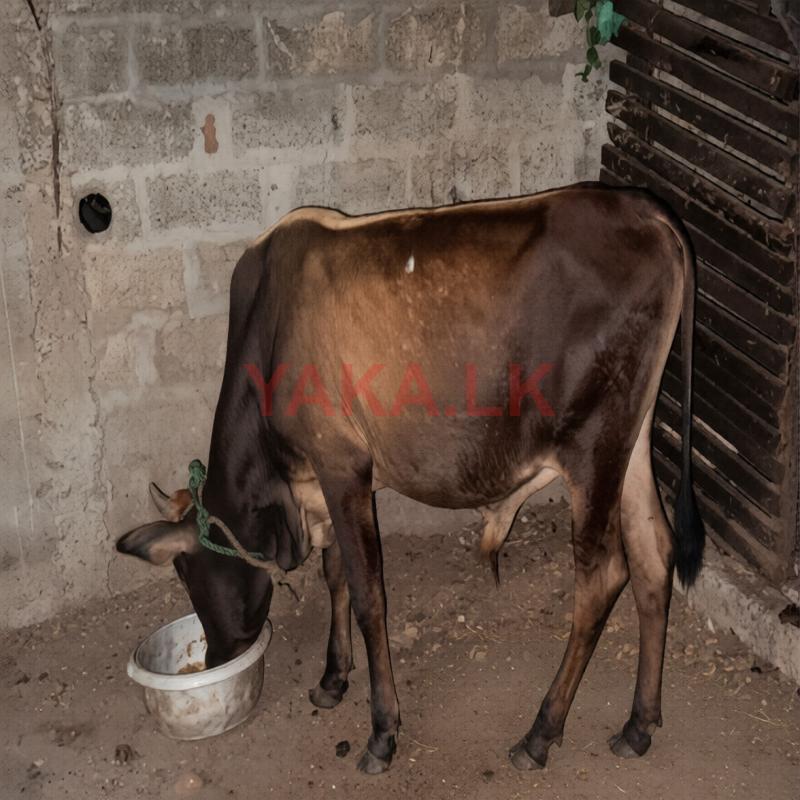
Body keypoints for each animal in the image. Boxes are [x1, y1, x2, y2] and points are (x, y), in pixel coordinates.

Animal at [117, 183, 704, 774]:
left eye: (188, 575)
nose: (217, 655)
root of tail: (645, 211)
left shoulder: (341, 464)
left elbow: (367, 592)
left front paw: (381, 731)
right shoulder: (330, 477)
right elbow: (334, 574)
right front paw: (333, 679)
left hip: (592, 444)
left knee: (602, 577)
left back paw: (540, 733)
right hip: (632, 439)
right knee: (654, 553)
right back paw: (638, 724)